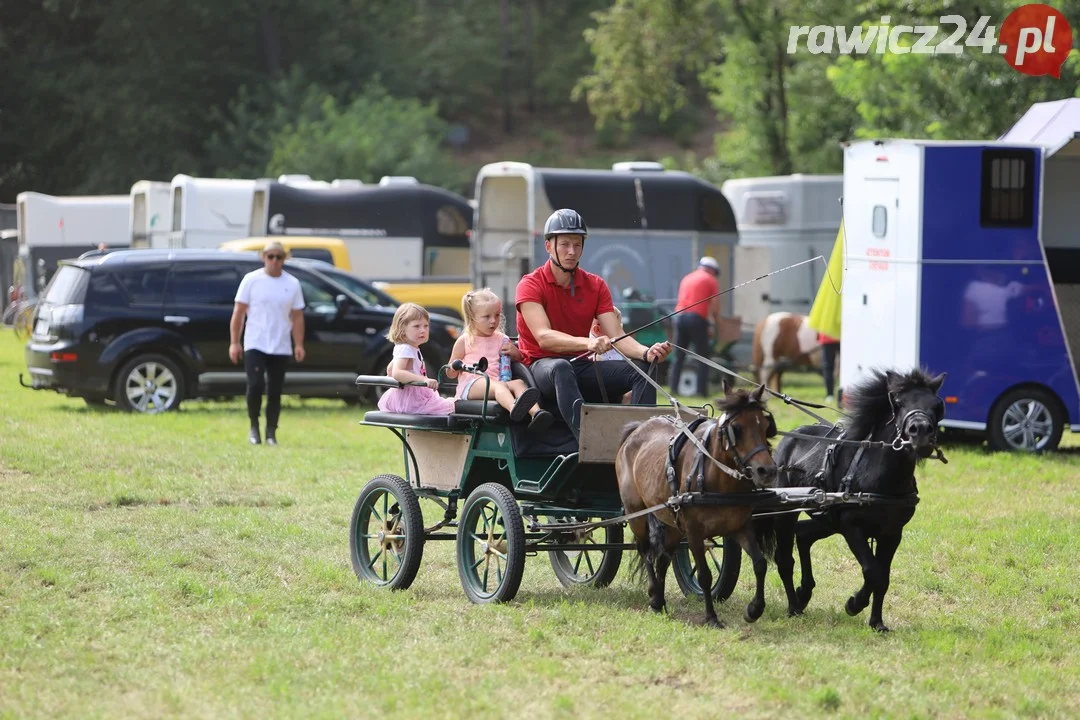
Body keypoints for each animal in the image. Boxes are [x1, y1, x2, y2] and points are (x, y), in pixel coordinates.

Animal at [760, 369, 946, 634]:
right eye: (898, 403)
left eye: (937, 405)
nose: (920, 431)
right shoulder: (852, 528)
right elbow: (872, 571)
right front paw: (854, 604)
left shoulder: (892, 533)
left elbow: (883, 577)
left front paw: (877, 622)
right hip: (787, 513)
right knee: (785, 559)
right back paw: (794, 606)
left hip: (828, 520)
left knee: (803, 534)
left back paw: (804, 592)